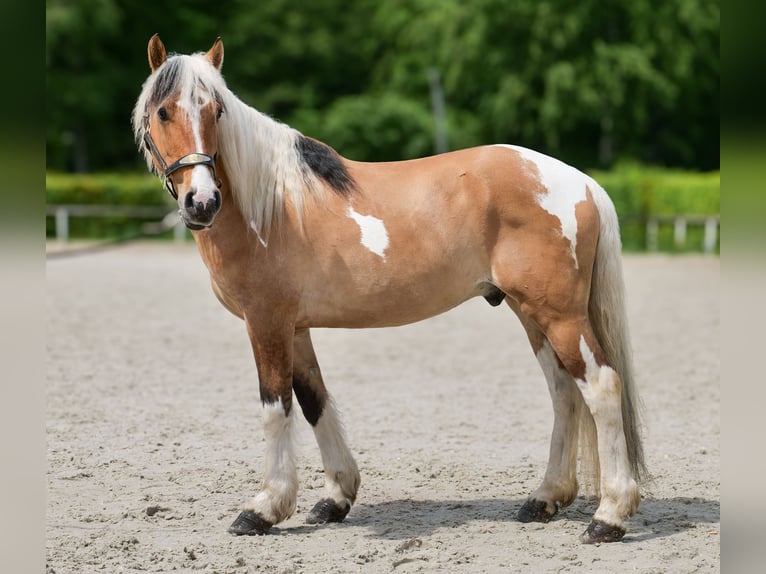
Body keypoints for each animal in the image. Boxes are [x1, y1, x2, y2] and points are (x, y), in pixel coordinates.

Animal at [132, 35, 645, 544]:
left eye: (216, 110)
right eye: (163, 112)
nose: (202, 201)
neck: (272, 206)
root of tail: (581, 182)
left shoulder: (267, 322)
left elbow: (275, 406)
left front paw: (264, 508)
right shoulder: (295, 328)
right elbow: (314, 400)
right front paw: (335, 498)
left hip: (559, 316)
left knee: (601, 387)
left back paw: (609, 516)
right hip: (531, 313)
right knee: (564, 393)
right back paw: (544, 499)